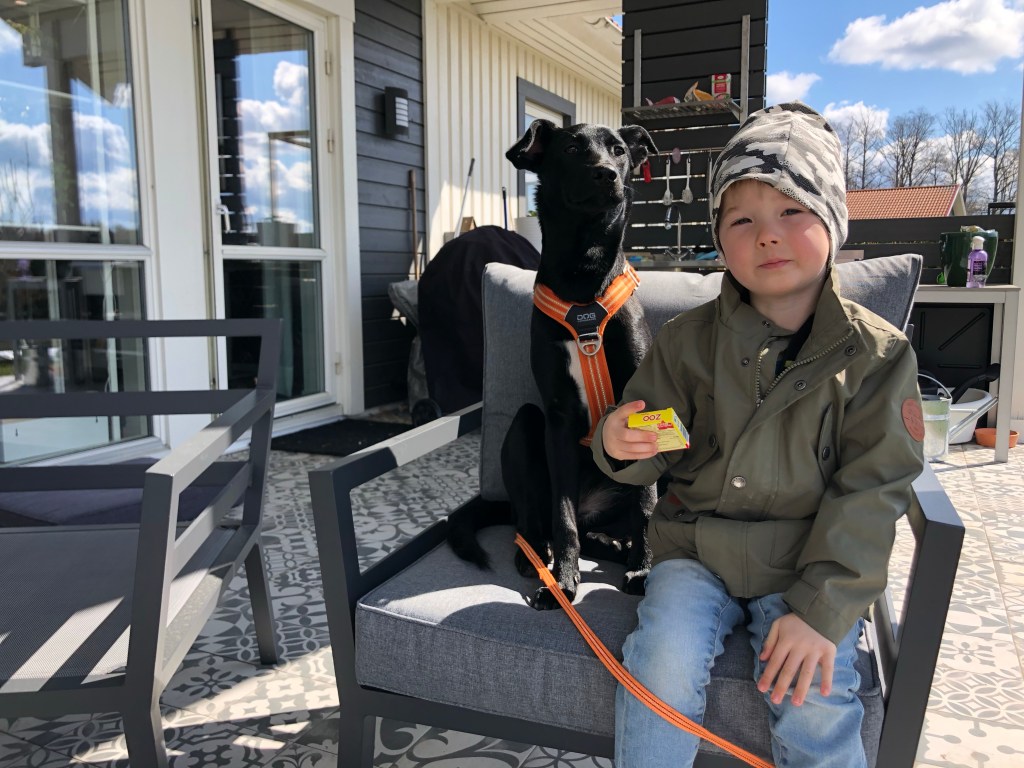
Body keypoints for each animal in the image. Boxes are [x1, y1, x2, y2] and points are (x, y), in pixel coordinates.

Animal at [449, 119, 658, 610]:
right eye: (571, 148)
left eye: (619, 150)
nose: (606, 174)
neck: (584, 281)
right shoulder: (558, 421)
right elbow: (562, 518)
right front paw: (562, 582)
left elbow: (645, 506)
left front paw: (643, 569)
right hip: (527, 428)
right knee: (535, 520)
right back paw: (536, 555)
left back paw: (618, 546)